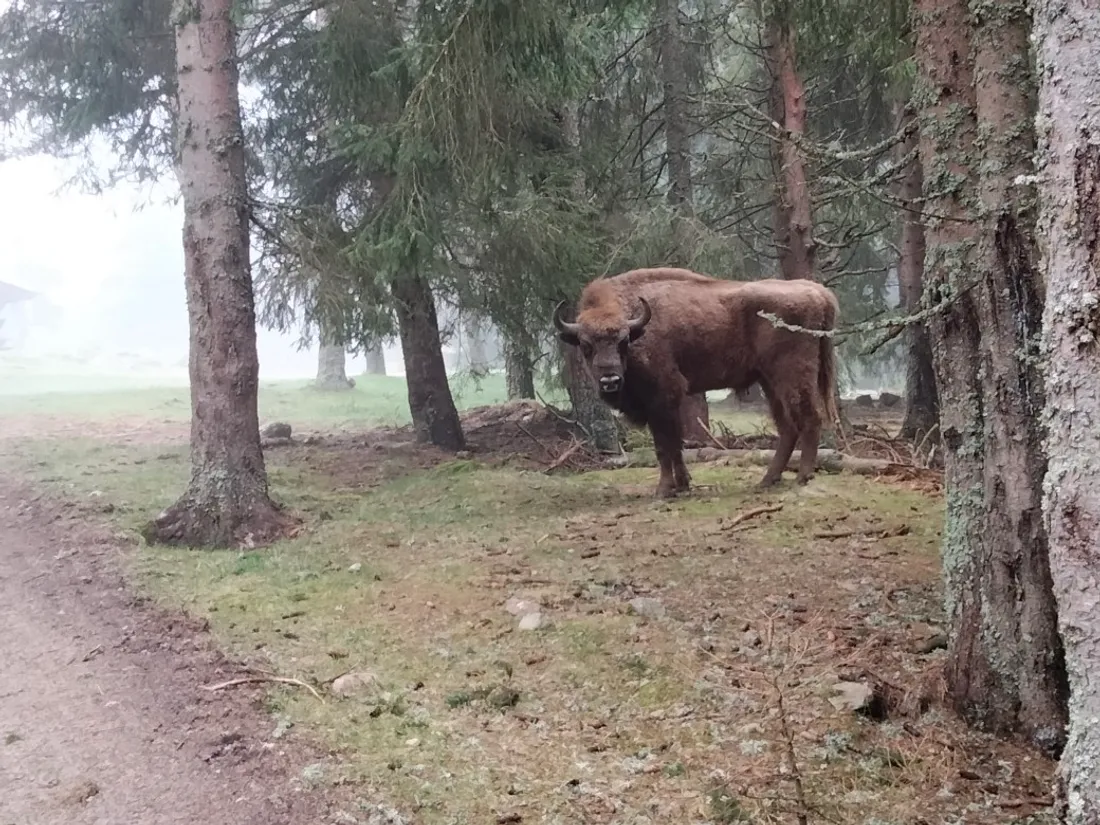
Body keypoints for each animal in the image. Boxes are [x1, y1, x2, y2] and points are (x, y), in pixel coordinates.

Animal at [554, 267, 840, 497]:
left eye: (623, 342)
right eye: (586, 346)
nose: (610, 380)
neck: (639, 327)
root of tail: (818, 292)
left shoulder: (663, 398)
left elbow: (664, 446)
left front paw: (664, 489)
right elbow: (675, 445)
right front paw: (682, 484)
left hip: (792, 376)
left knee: (809, 419)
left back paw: (803, 477)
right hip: (769, 381)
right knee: (788, 427)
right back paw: (767, 480)